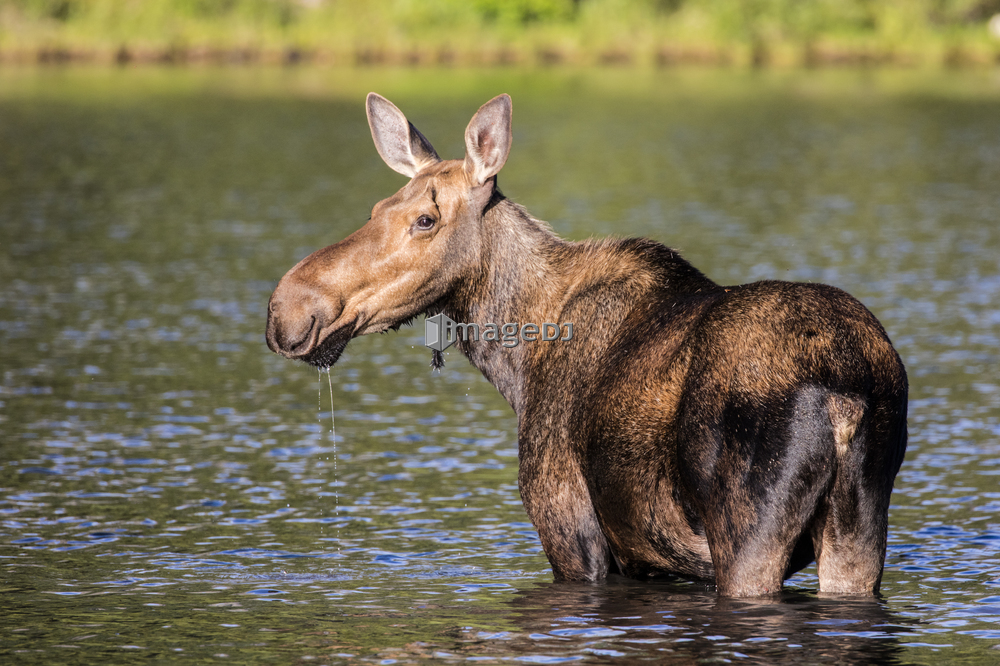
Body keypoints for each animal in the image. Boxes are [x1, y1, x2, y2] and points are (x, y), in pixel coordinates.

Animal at [266, 91, 908, 592]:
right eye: (377, 207)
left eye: (425, 220)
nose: (286, 307)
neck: (515, 365)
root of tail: (847, 395)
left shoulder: (571, 531)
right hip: (859, 530)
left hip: (749, 534)